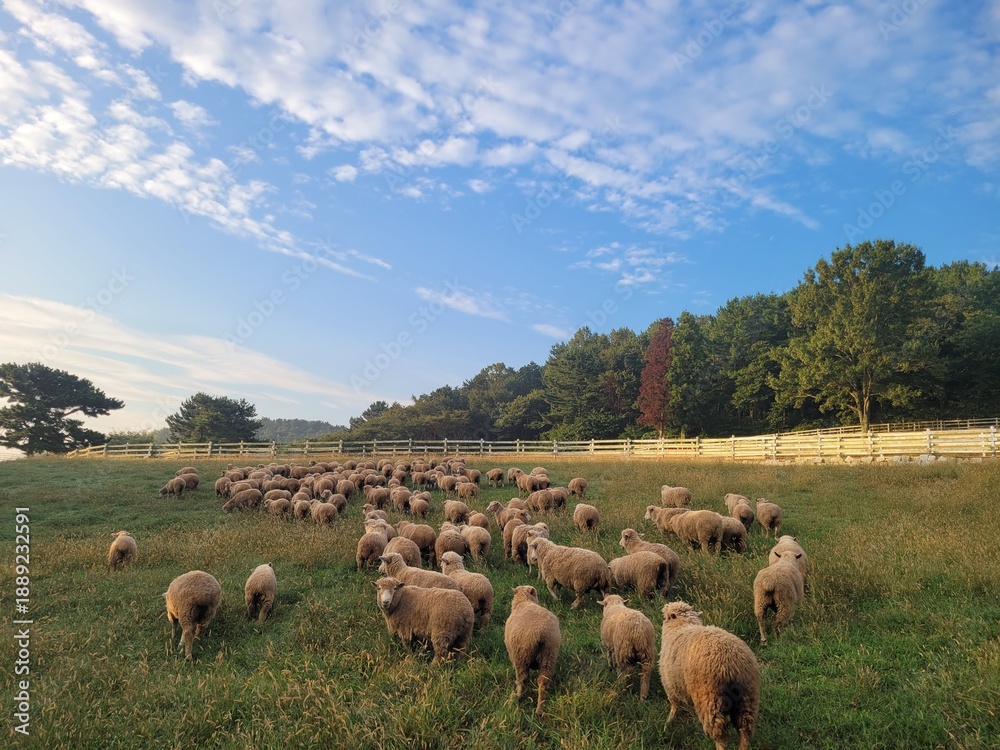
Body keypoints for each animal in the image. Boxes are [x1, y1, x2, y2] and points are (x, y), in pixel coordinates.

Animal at [504, 585, 561, 717]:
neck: (524, 602)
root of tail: (541, 633)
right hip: (549, 655)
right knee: (543, 681)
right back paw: (539, 710)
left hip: (521, 657)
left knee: (523, 679)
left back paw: (519, 697)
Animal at [659, 601, 760, 750]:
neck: (681, 627)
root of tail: (732, 663)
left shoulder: (670, 684)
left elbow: (675, 705)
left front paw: (669, 721)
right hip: (747, 696)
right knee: (745, 729)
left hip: (710, 700)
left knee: (721, 735)